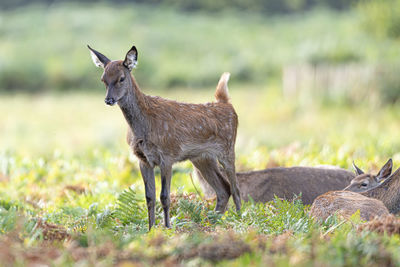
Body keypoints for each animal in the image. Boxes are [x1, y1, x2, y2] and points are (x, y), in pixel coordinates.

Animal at [87, 45, 241, 229]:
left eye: (121, 78)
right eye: (103, 79)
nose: (109, 99)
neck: (143, 127)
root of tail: (227, 104)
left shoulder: (167, 155)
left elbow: (164, 196)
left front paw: (167, 227)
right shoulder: (143, 159)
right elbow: (149, 197)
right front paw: (150, 228)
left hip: (228, 148)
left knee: (236, 188)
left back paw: (240, 219)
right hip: (202, 158)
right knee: (224, 189)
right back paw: (211, 222)